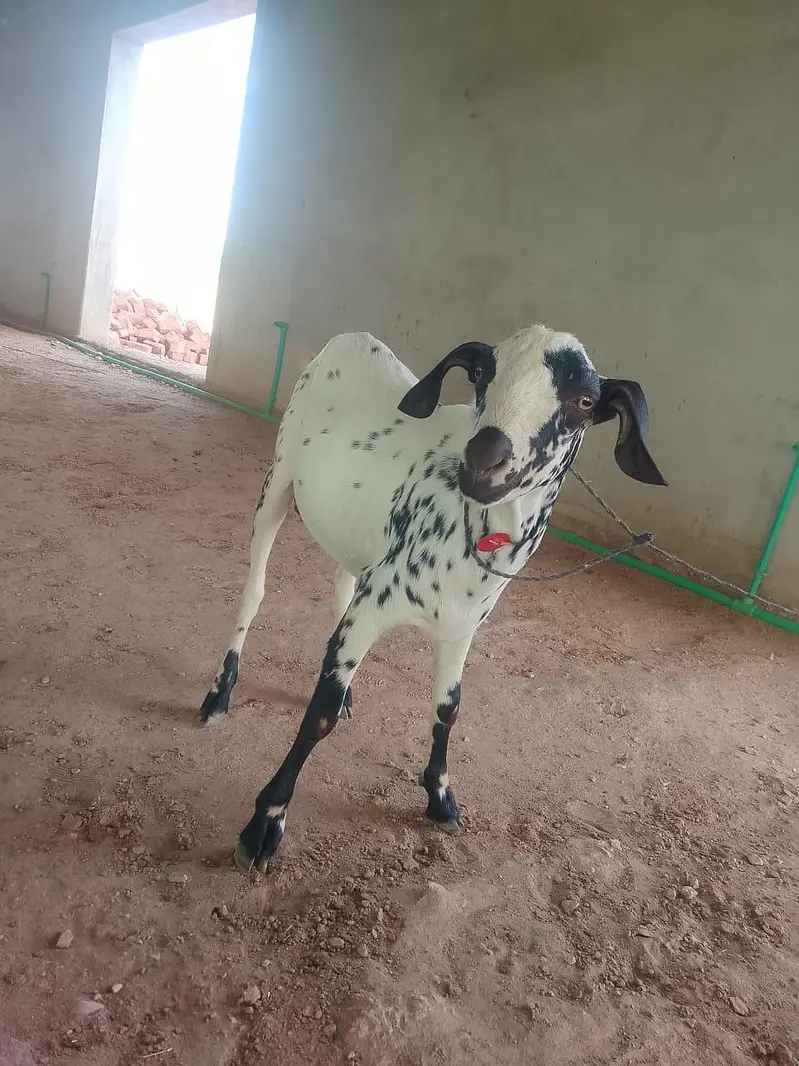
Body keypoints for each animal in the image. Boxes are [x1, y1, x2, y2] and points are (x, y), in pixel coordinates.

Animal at [200, 325, 666, 874]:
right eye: (482, 373)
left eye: (585, 400)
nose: (484, 457)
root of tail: (354, 337)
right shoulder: (374, 605)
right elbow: (319, 715)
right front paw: (263, 826)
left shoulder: (462, 626)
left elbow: (449, 708)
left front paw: (440, 797)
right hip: (279, 477)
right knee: (255, 590)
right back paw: (220, 692)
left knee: (339, 580)